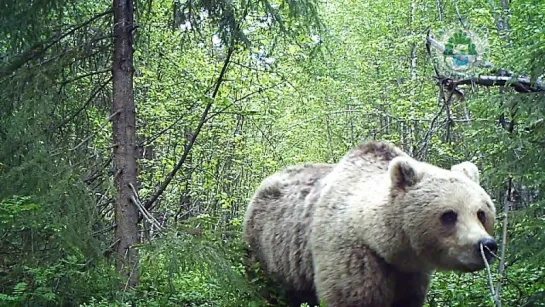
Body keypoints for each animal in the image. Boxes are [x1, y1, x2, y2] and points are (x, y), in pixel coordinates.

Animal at [243, 141, 498, 306]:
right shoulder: (352, 257)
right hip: (267, 250)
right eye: (449, 215)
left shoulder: (411, 274)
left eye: (481, 213)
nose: (486, 245)